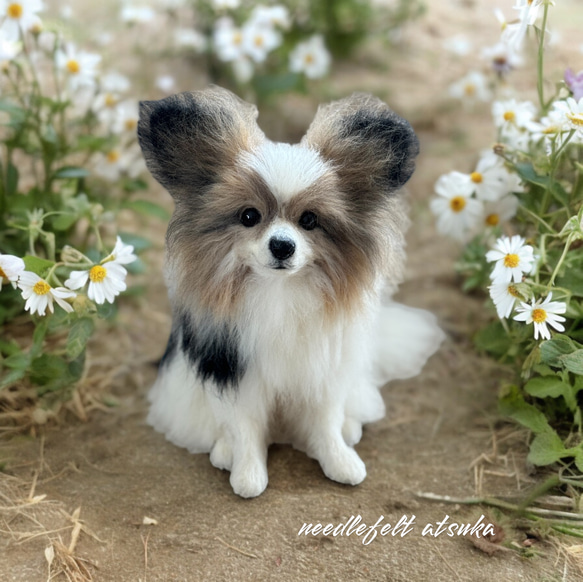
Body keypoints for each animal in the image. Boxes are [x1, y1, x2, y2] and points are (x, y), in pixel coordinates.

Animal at [138, 85, 448, 498]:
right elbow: (245, 428)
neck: (280, 292)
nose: (282, 246)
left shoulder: (322, 369)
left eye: (310, 220)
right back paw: (223, 451)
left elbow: (326, 422)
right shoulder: (238, 371)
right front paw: (248, 474)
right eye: (249, 216)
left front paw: (340, 461)